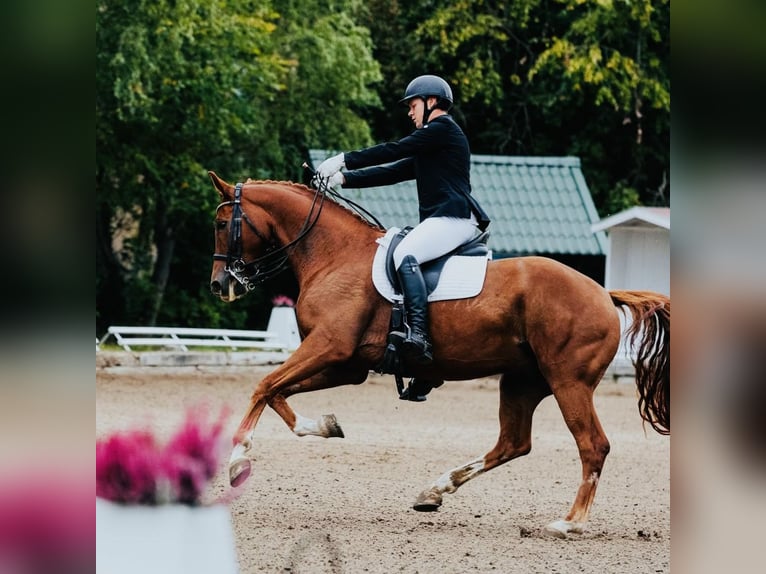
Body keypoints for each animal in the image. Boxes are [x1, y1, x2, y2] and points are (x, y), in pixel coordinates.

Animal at [207, 171, 668, 540]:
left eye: (220, 223)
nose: (219, 285)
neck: (333, 255)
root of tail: (603, 293)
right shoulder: (347, 364)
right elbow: (276, 392)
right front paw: (322, 425)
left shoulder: (328, 348)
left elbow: (264, 385)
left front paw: (236, 461)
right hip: (522, 381)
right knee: (513, 442)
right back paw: (435, 490)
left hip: (568, 382)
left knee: (592, 445)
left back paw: (569, 522)